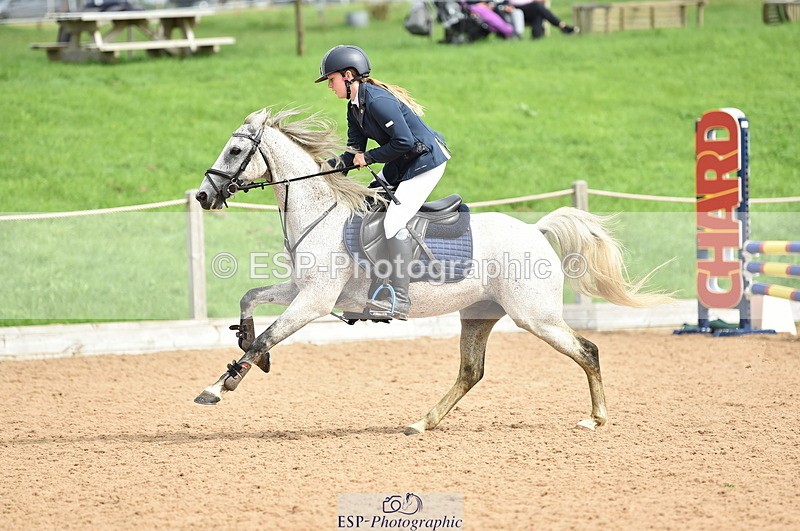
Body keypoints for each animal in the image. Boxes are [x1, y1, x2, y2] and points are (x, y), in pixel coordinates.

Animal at [193, 107, 671, 434]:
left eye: (235, 150)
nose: (202, 196)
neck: (321, 214)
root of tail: (536, 231)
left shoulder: (314, 301)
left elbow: (270, 334)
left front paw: (219, 387)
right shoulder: (300, 288)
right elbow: (249, 300)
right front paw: (249, 349)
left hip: (535, 316)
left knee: (586, 351)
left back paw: (596, 418)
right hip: (479, 315)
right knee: (471, 372)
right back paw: (422, 422)